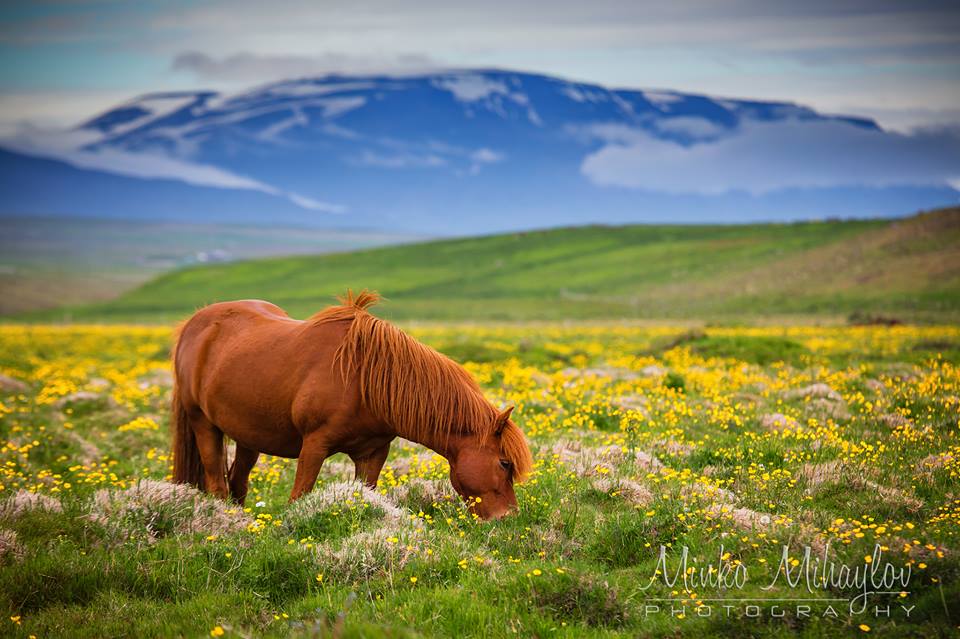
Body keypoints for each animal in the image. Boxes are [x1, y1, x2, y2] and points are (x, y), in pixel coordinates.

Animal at [171, 290, 532, 520]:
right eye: (504, 463)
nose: (508, 518)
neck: (364, 381)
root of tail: (194, 323)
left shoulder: (373, 453)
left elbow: (365, 493)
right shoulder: (314, 446)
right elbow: (299, 495)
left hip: (248, 435)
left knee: (238, 481)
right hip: (203, 423)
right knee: (217, 483)